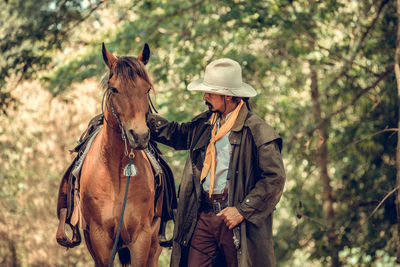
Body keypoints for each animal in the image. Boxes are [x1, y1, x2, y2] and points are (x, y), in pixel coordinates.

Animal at [79, 43, 162, 266]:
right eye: (114, 89)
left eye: (147, 88)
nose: (139, 136)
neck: (117, 169)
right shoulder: (100, 238)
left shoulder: (141, 237)